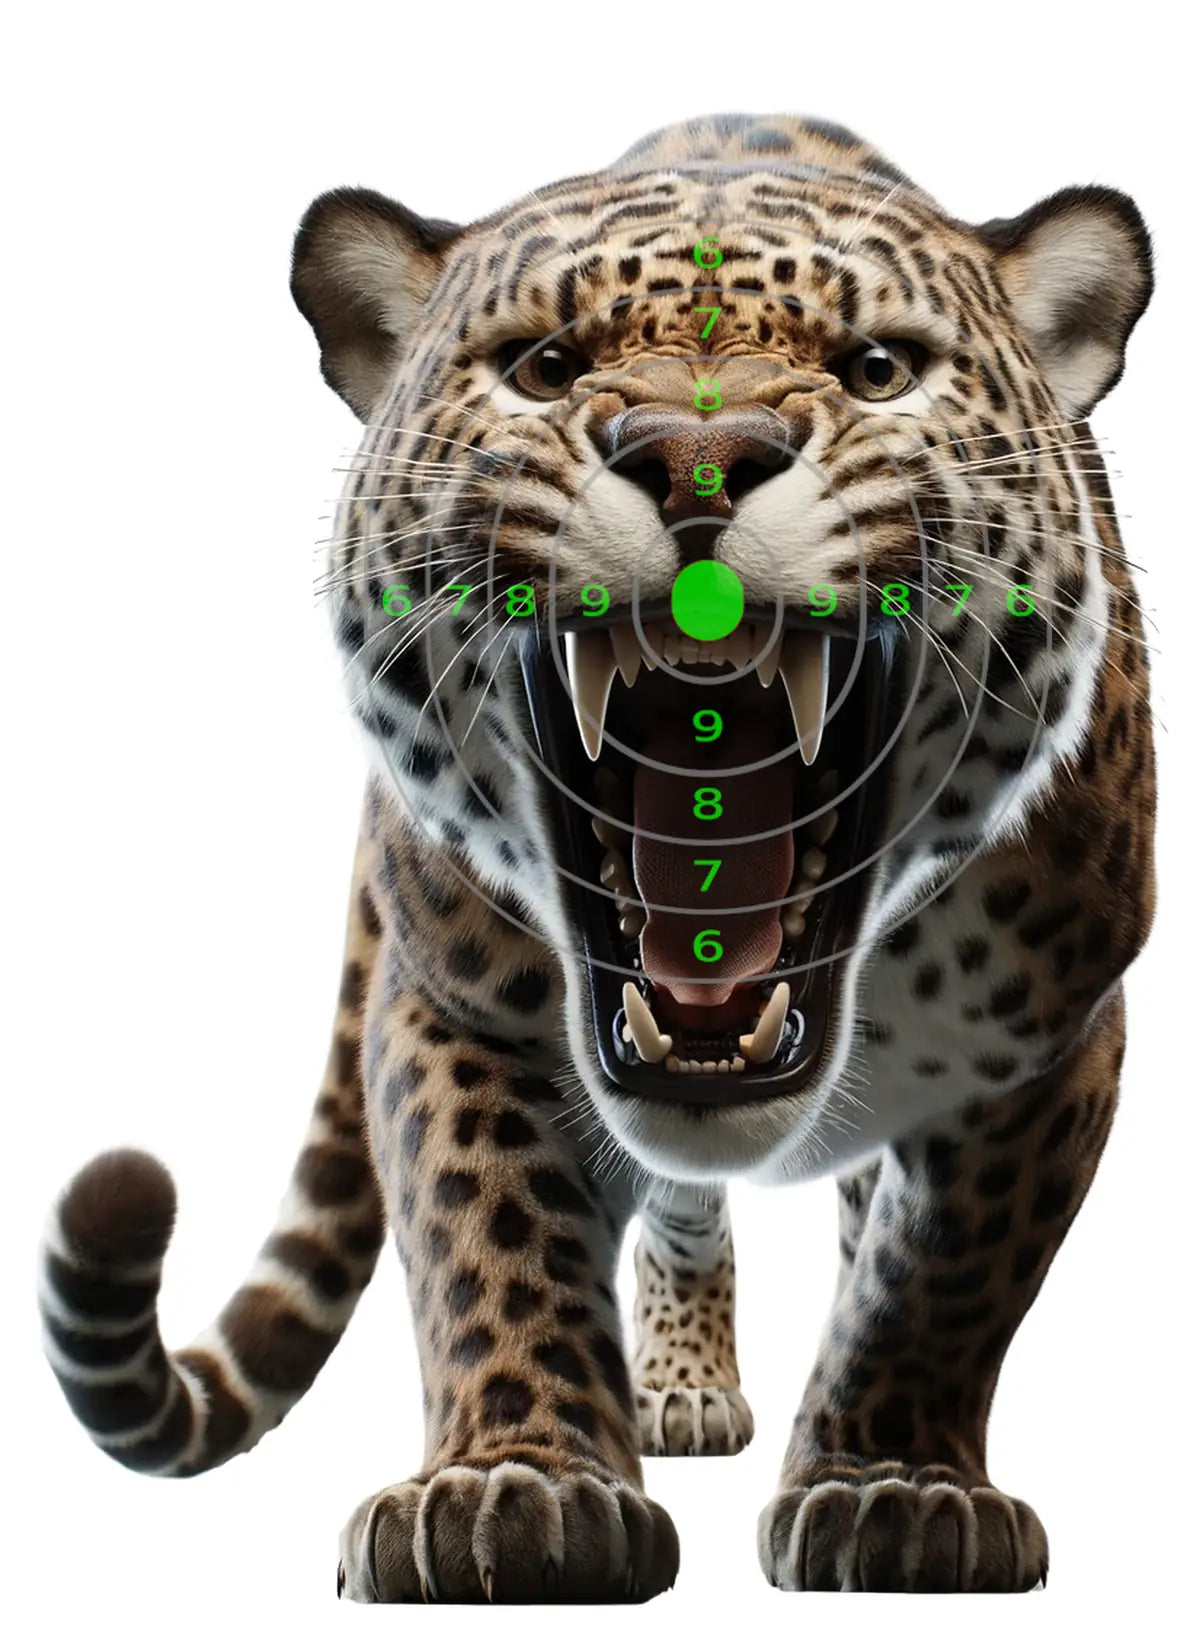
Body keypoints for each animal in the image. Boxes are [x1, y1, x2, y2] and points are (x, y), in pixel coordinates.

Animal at [38, 112, 1155, 1600]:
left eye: (876, 370)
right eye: (546, 368)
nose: (699, 459)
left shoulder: (1054, 1037)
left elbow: (946, 1274)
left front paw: (898, 1489)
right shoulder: (455, 1010)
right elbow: (486, 1234)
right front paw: (515, 1486)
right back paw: (679, 1391)